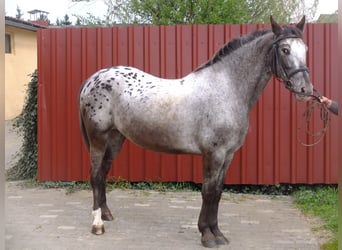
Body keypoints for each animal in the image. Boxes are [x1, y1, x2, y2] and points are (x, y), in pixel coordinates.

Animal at [79, 16, 312, 248]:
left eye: (305, 49)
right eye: (285, 49)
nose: (305, 90)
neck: (226, 89)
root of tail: (92, 80)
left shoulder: (228, 155)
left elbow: (217, 192)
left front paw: (218, 233)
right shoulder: (213, 154)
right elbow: (208, 191)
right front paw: (207, 235)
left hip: (115, 139)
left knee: (103, 173)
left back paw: (106, 214)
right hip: (98, 139)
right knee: (95, 175)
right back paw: (97, 224)